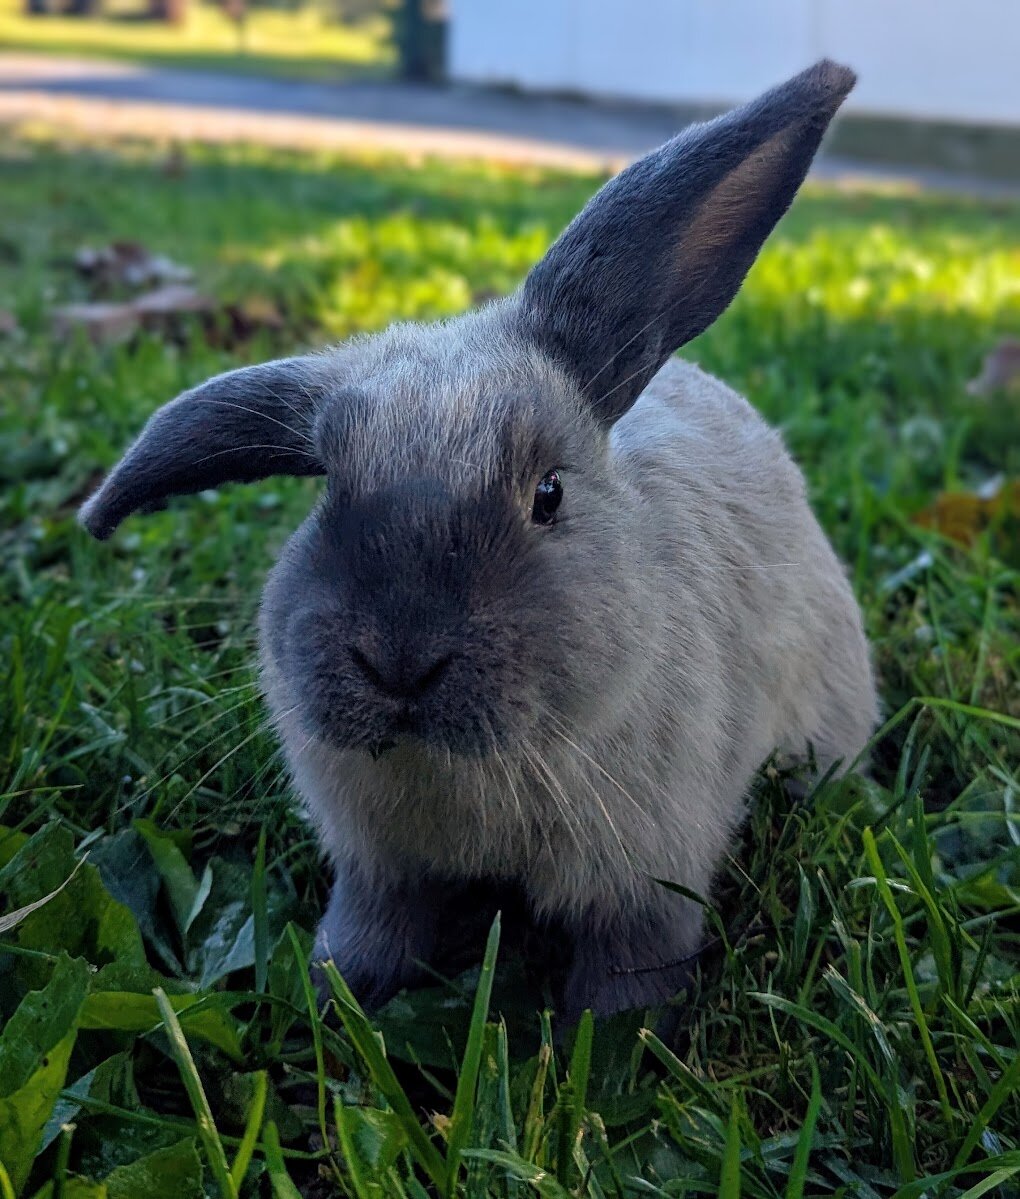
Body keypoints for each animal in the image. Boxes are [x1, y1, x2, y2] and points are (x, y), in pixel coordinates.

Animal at [80, 59, 878, 1020]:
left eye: (548, 494)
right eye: (325, 489)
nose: (398, 660)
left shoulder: (649, 887)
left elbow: (632, 969)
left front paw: (612, 1038)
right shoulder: (380, 871)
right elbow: (373, 928)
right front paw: (335, 995)